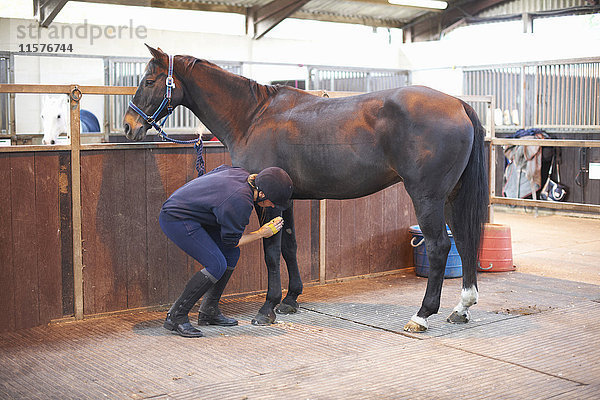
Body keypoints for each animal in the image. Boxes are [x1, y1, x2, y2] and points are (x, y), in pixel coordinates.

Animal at [122, 46, 488, 334]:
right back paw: (461, 308)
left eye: (149, 81)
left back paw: (422, 315)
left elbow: (271, 253)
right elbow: (290, 246)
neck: (253, 117)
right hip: (451, 196)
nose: (129, 126)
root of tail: (459, 104)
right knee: (465, 240)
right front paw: (290, 300)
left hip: (427, 197)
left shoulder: (266, 203)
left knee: (440, 246)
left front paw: (266, 309)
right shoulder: (286, 199)